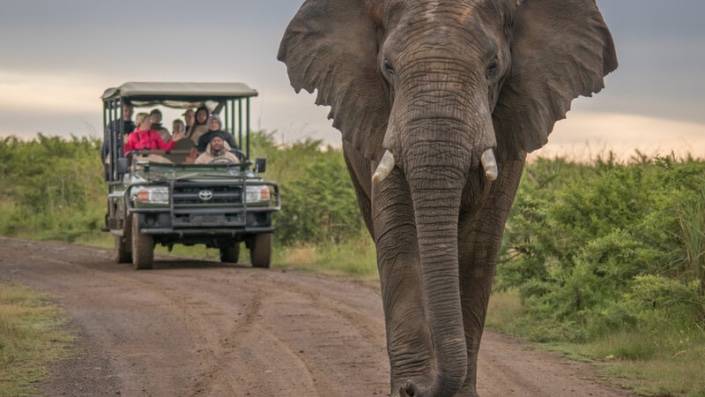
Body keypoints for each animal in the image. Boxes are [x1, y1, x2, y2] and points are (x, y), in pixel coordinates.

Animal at [278, 0, 612, 396]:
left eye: (493, 67)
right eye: (387, 67)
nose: (413, 388)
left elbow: (478, 248)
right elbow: (401, 241)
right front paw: (407, 386)